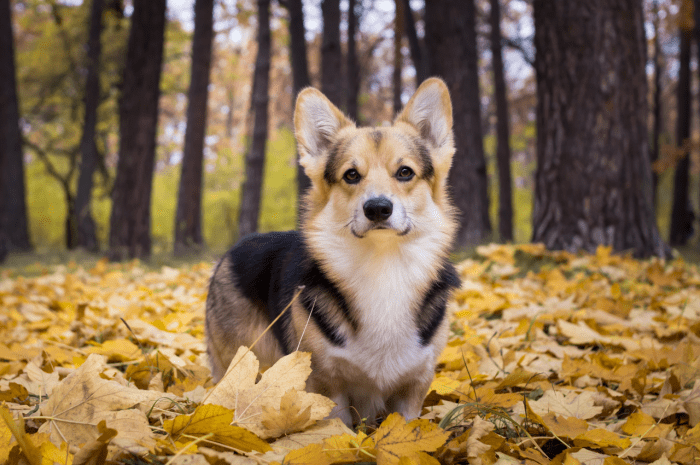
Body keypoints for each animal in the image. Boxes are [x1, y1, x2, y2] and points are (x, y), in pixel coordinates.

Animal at [205, 77, 462, 424]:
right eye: (351, 175)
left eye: (405, 172)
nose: (377, 208)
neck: (383, 266)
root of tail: (234, 249)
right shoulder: (327, 385)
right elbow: (337, 427)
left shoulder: (414, 387)